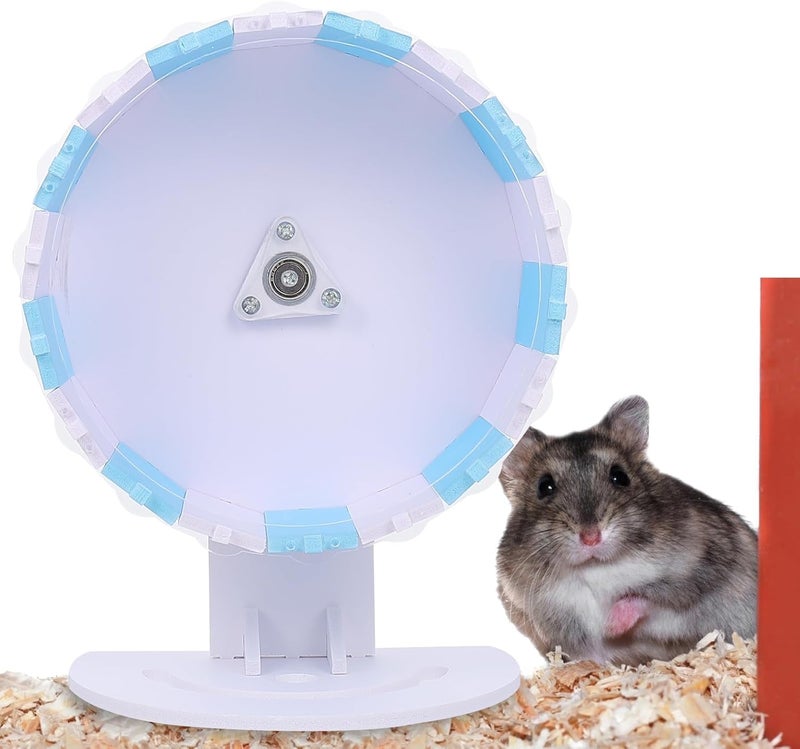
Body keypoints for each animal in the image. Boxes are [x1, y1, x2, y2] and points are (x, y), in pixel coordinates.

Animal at [496, 396, 758, 667]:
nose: (591, 538)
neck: (595, 567)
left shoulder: (693, 575)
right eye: (544, 486)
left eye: (620, 476)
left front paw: (612, 626)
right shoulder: (559, 618)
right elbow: (590, 653)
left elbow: (645, 598)